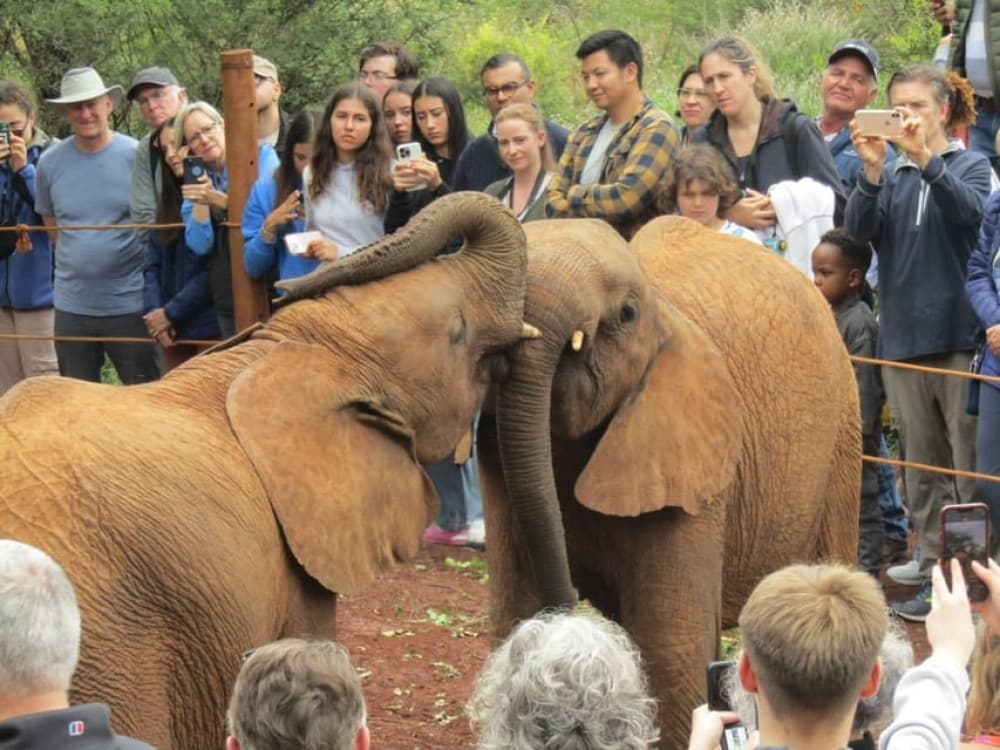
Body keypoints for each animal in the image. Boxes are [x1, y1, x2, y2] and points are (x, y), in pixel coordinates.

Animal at [477, 215, 861, 748]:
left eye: (626, 314)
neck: (663, 309)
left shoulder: (693, 468)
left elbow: (673, 656)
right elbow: (515, 613)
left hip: (845, 427)